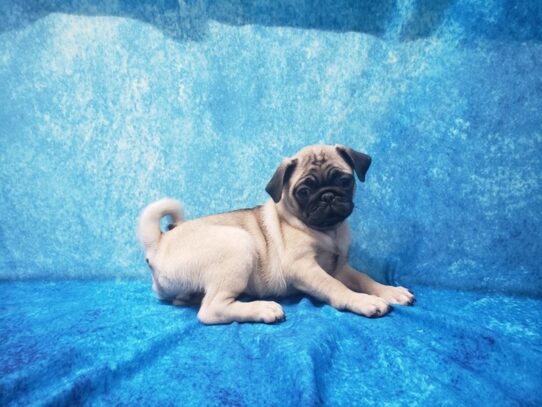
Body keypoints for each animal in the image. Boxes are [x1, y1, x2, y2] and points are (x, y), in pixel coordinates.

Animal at [139, 145, 416, 326]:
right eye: (304, 191)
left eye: (345, 181)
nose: (328, 196)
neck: (327, 232)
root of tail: (159, 243)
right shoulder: (303, 268)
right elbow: (336, 287)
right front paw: (363, 301)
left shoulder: (339, 267)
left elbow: (364, 278)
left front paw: (389, 291)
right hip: (238, 244)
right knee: (212, 310)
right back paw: (263, 308)